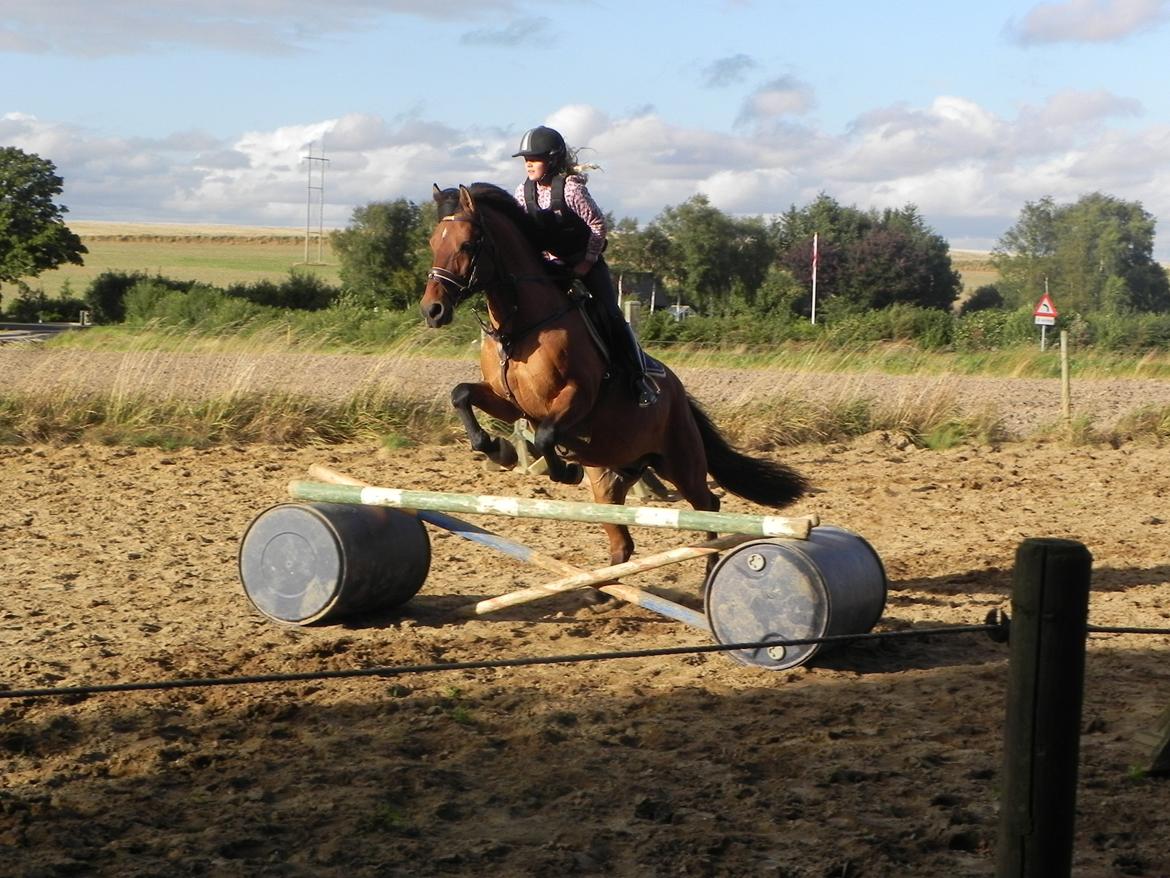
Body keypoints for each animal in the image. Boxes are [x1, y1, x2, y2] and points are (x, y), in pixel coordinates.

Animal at [421, 186, 804, 571]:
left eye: (468, 244)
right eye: (432, 242)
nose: (432, 310)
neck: (520, 328)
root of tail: (680, 395)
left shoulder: (578, 396)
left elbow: (545, 435)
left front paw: (563, 471)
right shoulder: (510, 403)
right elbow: (461, 394)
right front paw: (498, 450)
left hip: (681, 462)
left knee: (707, 506)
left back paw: (710, 566)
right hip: (610, 475)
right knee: (624, 541)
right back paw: (604, 582)